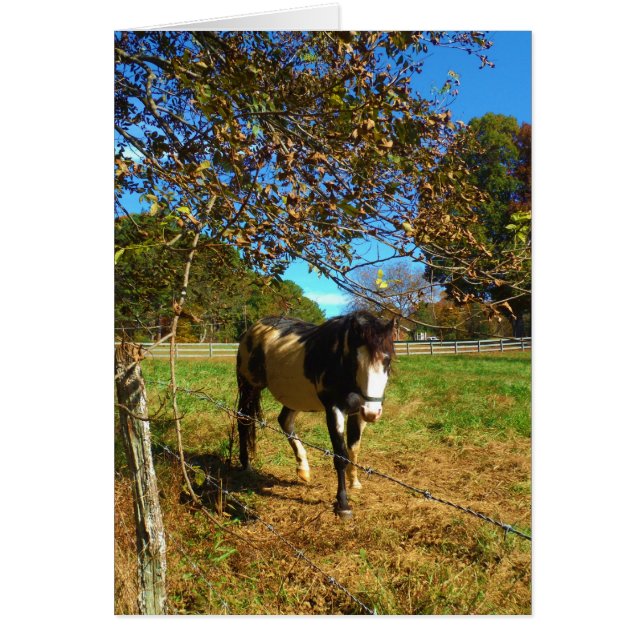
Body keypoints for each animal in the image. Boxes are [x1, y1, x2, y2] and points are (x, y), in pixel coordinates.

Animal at [235, 310, 395, 517]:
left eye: (387, 360)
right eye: (355, 360)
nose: (372, 413)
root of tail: (254, 328)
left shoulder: (357, 413)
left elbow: (354, 448)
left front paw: (355, 481)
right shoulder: (334, 410)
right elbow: (340, 456)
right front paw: (343, 504)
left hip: (294, 397)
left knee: (284, 421)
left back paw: (303, 469)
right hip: (248, 387)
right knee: (243, 422)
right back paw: (246, 465)